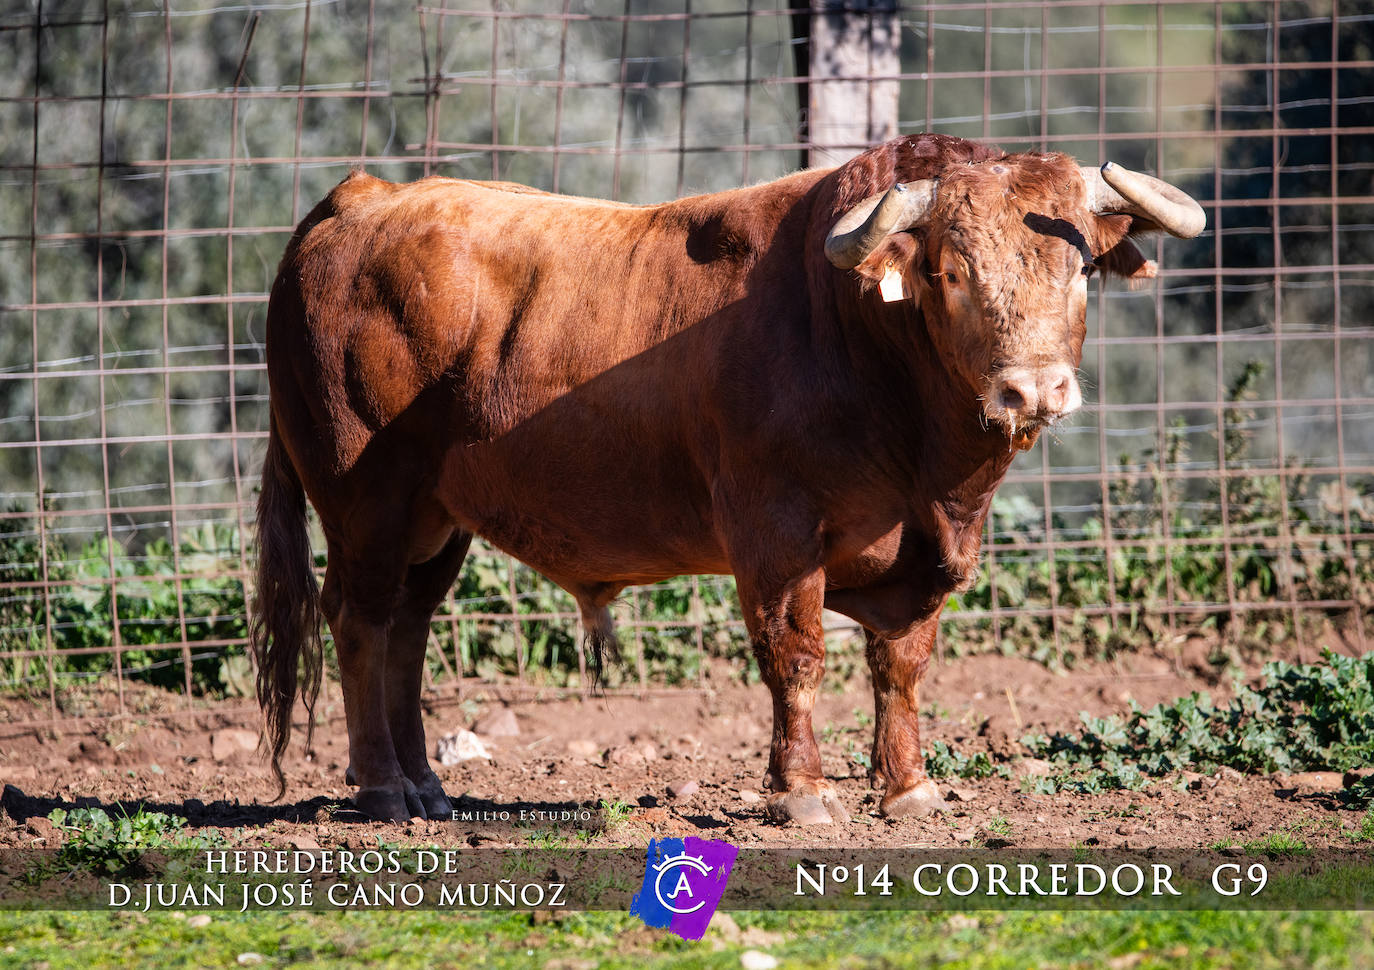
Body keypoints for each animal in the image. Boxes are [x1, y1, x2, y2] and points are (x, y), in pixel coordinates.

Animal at [250, 131, 1203, 818]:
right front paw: (803, 792)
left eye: (1078, 269)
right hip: (366, 499)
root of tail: (362, 197)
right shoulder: (774, 534)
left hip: (436, 518)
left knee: (408, 630)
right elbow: (798, 657)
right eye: (949, 271)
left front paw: (908, 788)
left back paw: (426, 785)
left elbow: (901, 664)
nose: (1032, 389)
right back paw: (382, 788)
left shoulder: (927, 556)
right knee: (362, 622)